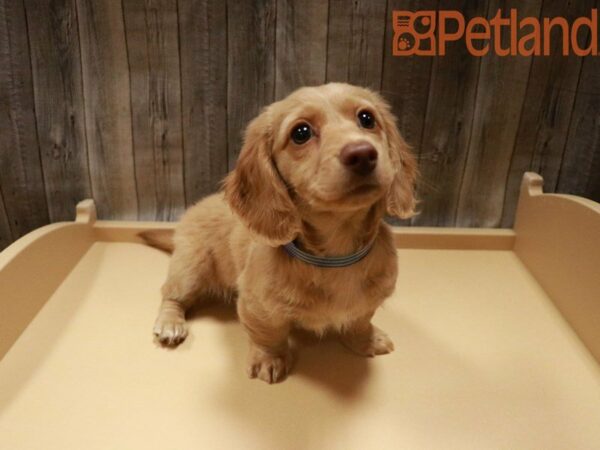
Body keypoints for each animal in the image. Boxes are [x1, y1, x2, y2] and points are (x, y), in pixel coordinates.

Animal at [139, 83, 418, 384]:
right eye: (301, 133)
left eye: (367, 118)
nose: (363, 154)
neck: (336, 255)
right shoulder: (255, 305)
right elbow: (268, 334)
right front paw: (268, 359)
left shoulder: (370, 301)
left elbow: (360, 320)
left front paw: (366, 339)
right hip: (190, 269)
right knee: (171, 296)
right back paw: (170, 323)